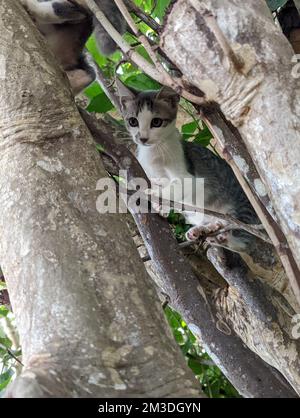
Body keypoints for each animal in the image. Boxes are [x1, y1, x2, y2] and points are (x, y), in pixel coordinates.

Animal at [116, 80, 262, 253]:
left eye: (156, 122)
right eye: (133, 121)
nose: (143, 138)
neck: (155, 151)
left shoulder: (189, 177)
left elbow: (175, 187)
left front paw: (152, 193)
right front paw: (161, 206)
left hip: (242, 210)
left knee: (241, 242)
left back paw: (223, 236)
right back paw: (205, 230)